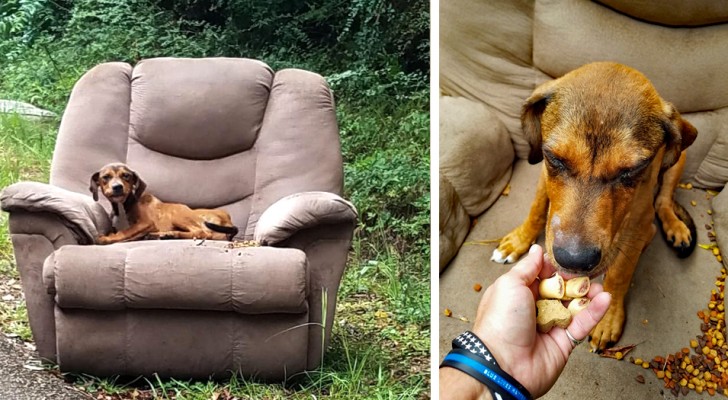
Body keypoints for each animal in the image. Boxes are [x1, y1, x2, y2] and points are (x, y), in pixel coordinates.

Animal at [90, 162, 239, 244]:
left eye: (126, 176)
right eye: (106, 177)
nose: (117, 187)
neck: (123, 206)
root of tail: (228, 220)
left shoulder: (146, 223)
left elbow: (126, 231)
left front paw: (107, 238)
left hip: (177, 214)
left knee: (202, 232)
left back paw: (170, 234)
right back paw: (162, 235)